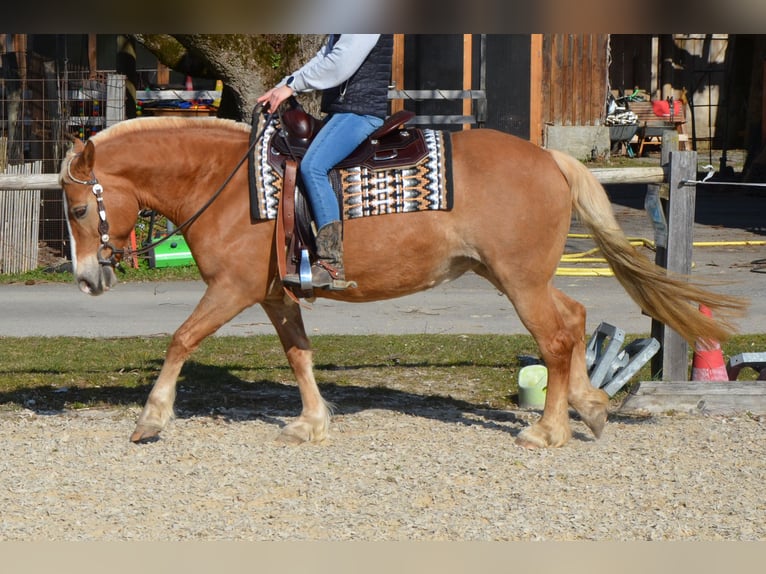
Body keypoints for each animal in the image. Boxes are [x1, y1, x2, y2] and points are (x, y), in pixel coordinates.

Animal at [59, 114, 745, 448]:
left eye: (77, 208)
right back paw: (591, 407)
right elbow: (299, 356)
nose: (88, 278)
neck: (227, 185)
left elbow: (181, 339)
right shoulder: (277, 296)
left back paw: (548, 431)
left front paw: (152, 419)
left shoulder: (232, 290)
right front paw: (312, 423)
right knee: (574, 321)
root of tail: (549, 158)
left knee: (553, 338)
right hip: (515, 276)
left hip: (519, 281)